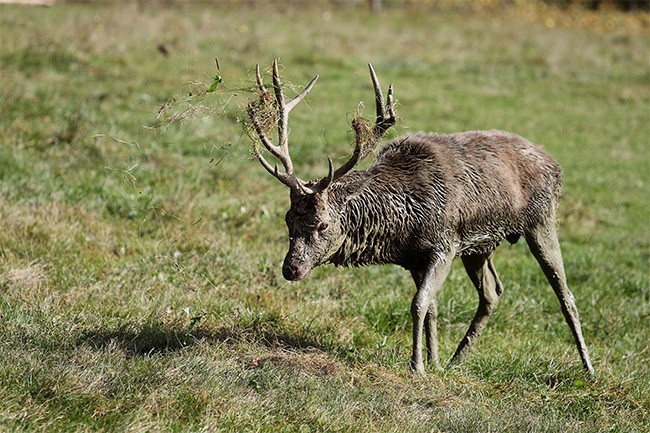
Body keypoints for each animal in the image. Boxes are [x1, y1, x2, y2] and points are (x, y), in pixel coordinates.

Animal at [246, 60, 595, 376]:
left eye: (322, 223)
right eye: (288, 219)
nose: (291, 268)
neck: (403, 223)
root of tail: (555, 164)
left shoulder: (445, 243)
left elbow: (418, 303)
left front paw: (418, 367)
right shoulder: (415, 257)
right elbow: (431, 308)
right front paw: (435, 360)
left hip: (542, 219)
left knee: (565, 294)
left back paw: (588, 368)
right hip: (482, 245)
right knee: (492, 293)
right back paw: (456, 360)